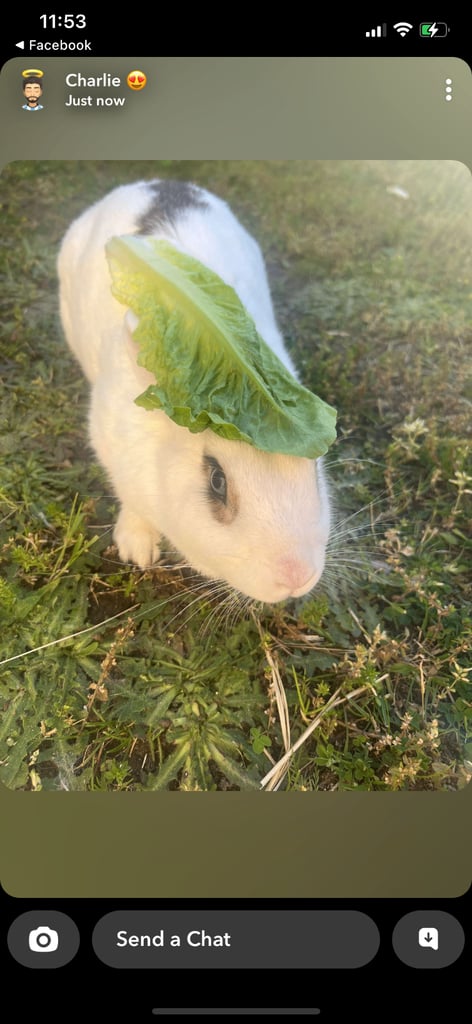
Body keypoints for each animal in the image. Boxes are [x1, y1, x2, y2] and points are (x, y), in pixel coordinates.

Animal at [57, 179, 331, 604]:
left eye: (315, 466)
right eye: (217, 481)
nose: (296, 575)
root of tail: (151, 182)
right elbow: (133, 504)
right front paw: (138, 550)